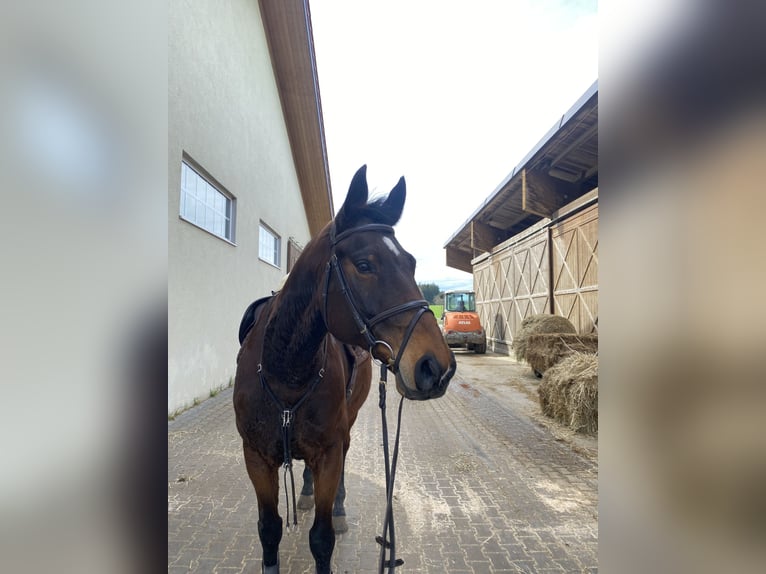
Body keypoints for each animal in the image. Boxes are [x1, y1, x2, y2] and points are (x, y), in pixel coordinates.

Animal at [234, 165, 456, 574]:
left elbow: (321, 539)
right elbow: (269, 529)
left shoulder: (330, 451)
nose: (436, 366)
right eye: (365, 264)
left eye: (412, 263)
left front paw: (330, 516)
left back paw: (337, 508)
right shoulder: (255, 456)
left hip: (346, 428)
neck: (285, 371)